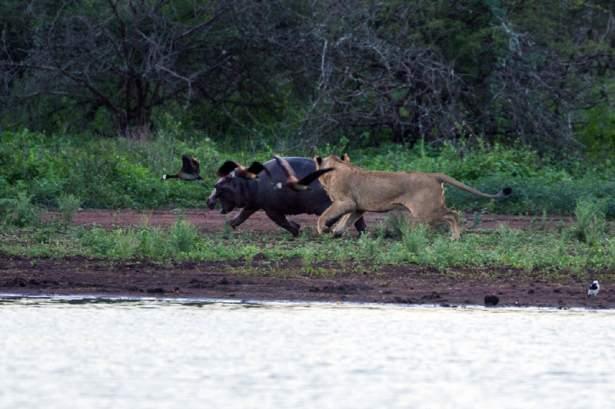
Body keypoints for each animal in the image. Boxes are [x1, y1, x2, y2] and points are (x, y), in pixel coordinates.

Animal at [209, 156, 368, 236]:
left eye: (219, 185)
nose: (208, 201)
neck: (246, 183)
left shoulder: (271, 209)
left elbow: (282, 222)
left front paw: (296, 230)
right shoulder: (253, 205)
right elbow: (241, 216)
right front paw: (229, 225)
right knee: (356, 217)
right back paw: (362, 234)